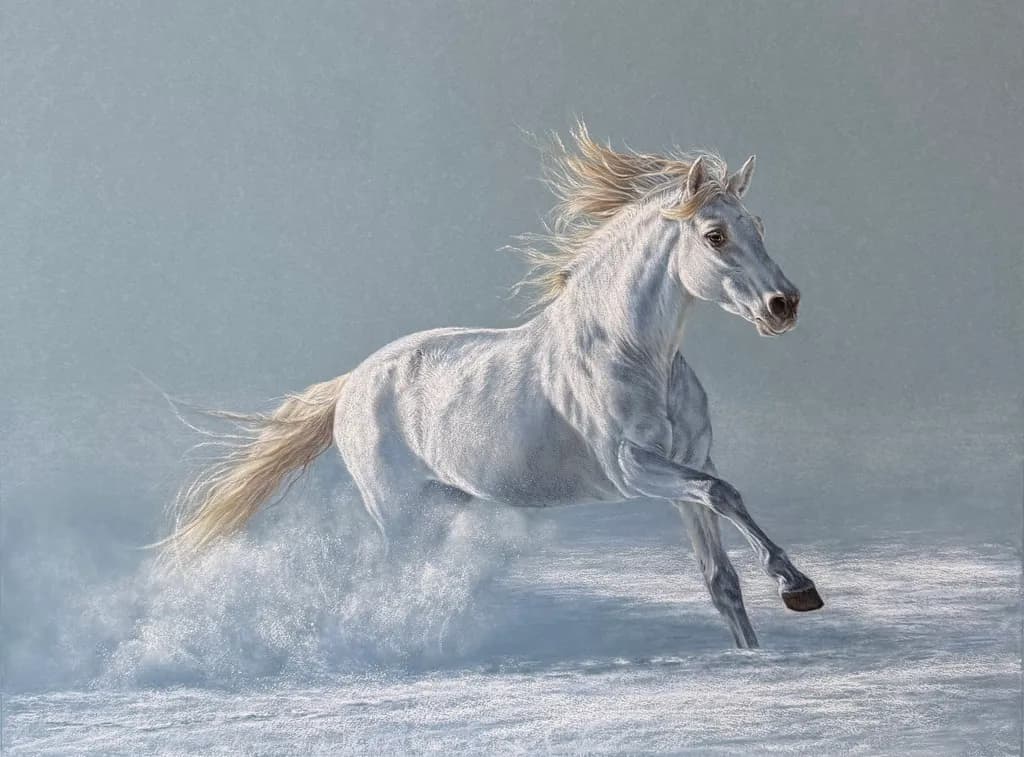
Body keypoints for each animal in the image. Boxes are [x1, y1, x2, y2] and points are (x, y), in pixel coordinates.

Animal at [166, 124, 822, 649]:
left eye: (759, 225)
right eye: (714, 235)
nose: (784, 305)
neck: (633, 354)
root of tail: (355, 381)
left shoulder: (688, 466)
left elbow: (721, 576)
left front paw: (762, 640)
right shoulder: (633, 468)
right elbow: (724, 492)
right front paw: (798, 586)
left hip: (443, 505)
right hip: (399, 514)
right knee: (394, 584)